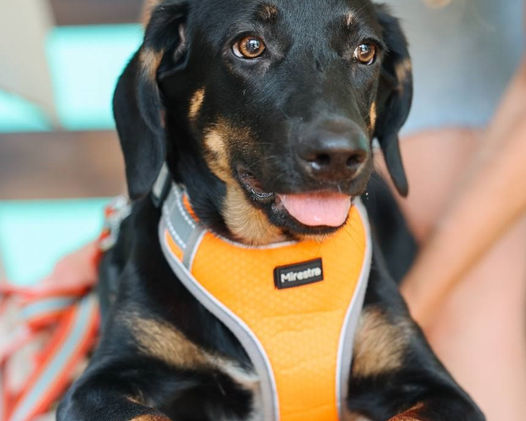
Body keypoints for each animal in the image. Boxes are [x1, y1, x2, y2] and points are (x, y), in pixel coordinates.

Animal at [58, 0, 485, 420]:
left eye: (366, 51)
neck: (273, 251)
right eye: (250, 46)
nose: (340, 156)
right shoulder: (97, 385)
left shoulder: (437, 387)